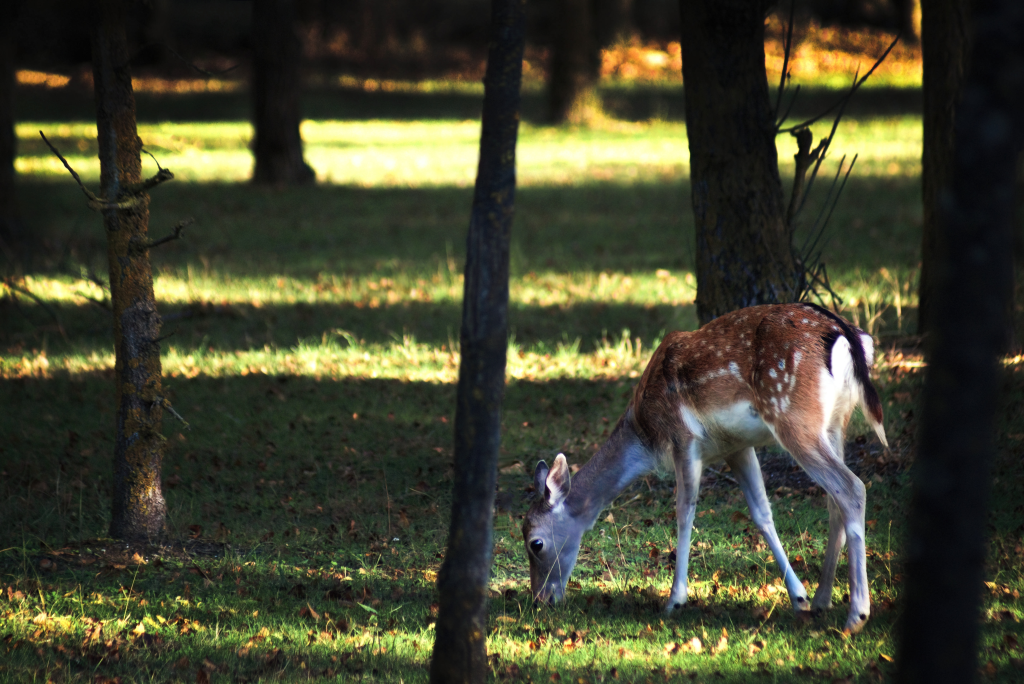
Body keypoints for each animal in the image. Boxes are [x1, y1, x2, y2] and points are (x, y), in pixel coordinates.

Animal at [520, 301, 888, 634]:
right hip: (835, 423)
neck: (645, 433)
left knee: (852, 488)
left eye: (535, 543)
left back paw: (856, 615)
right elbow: (761, 513)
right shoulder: (736, 447)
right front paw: (799, 598)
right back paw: (823, 600)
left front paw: (675, 600)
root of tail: (848, 336)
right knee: (834, 500)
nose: (540, 600)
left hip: (794, 415)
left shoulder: (684, 438)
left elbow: (685, 512)